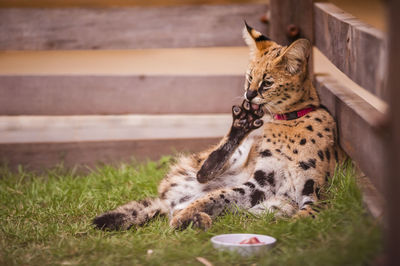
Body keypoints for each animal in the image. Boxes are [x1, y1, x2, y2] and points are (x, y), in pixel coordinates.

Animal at [92, 23, 342, 231]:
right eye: (249, 78)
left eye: (267, 83)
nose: (248, 95)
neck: (288, 121)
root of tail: (166, 198)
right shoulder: (260, 182)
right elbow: (219, 196)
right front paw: (186, 216)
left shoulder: (315, 191)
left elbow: (306, 216)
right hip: (236, 155)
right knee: (205, 171)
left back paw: (196, 219)